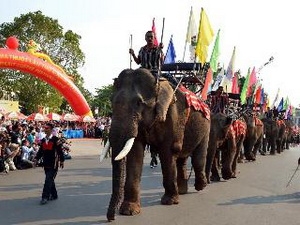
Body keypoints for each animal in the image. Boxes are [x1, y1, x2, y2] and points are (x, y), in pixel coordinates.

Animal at [105, 67, 211, 221]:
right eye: (111, 102)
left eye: (138, 103)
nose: (111, 218)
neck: (158, 82)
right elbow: (135, 152)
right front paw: (129, 211)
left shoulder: (173, 115)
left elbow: (168, 151)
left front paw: (169, 202)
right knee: (182, 158)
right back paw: (182, 191)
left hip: (206, 127)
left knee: (198, 157)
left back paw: (200, 186)